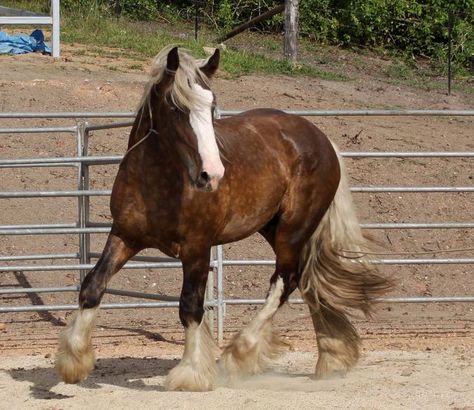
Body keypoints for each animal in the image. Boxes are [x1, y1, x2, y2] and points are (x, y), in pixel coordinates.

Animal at [55, 45, 390, 390]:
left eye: (211, 104)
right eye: (176, 107)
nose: (212, 175)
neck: (159, 183)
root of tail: (322, 140)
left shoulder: (197, 248)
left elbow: (191, 306)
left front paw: (190, 373)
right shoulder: (124, 236)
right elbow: (93, 286)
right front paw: (74, 361)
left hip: (292, 231)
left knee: (285, 282)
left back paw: (239, 356)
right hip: (274, 228)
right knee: (308, 281)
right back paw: (331, 359)